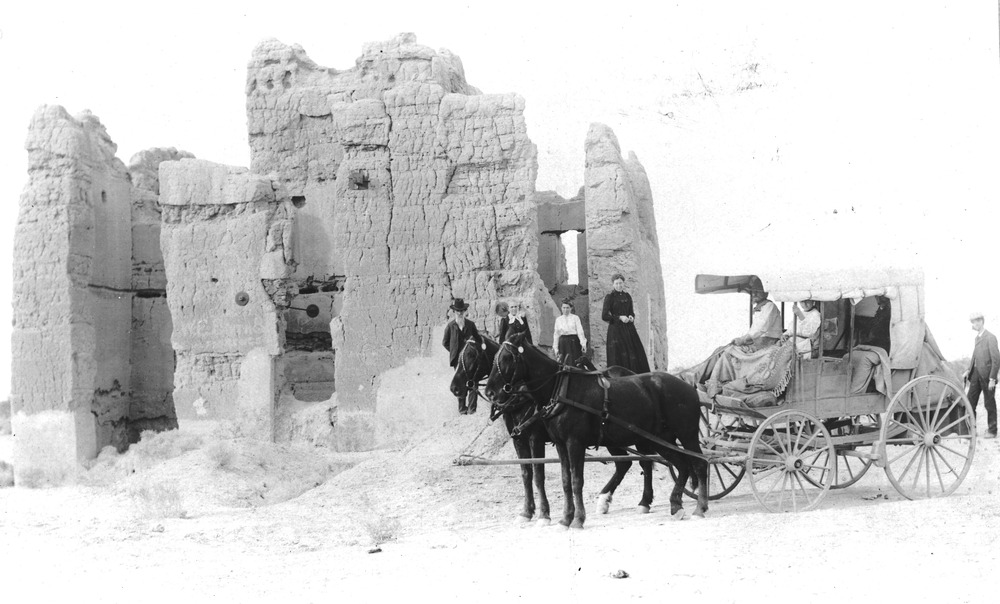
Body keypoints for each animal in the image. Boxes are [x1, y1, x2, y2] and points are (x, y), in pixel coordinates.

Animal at [448, 336, 652, 524]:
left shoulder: (536, 439)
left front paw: (544, 514)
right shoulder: (519, 440)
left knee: (643, 462)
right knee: (625, 463)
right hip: (612, 438)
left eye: (471, 355)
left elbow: (538, 476)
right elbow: (526, 474)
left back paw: (642, 501)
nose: (454, 388)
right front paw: (527, 512)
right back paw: (607, 500)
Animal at [486, 330, 712, 528]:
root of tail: (689, 386)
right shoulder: (559, 444)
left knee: (699, 464)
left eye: (506, 357)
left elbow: (575, 481)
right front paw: (565, 519)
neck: (561, 389)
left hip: (686, 436)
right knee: (680, 466)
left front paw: (576, 519)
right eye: (494, 356)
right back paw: (674, 505)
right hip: (658, 439)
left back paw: (699, 508)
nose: (490, 392)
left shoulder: (570, 443)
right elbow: (564, 481)